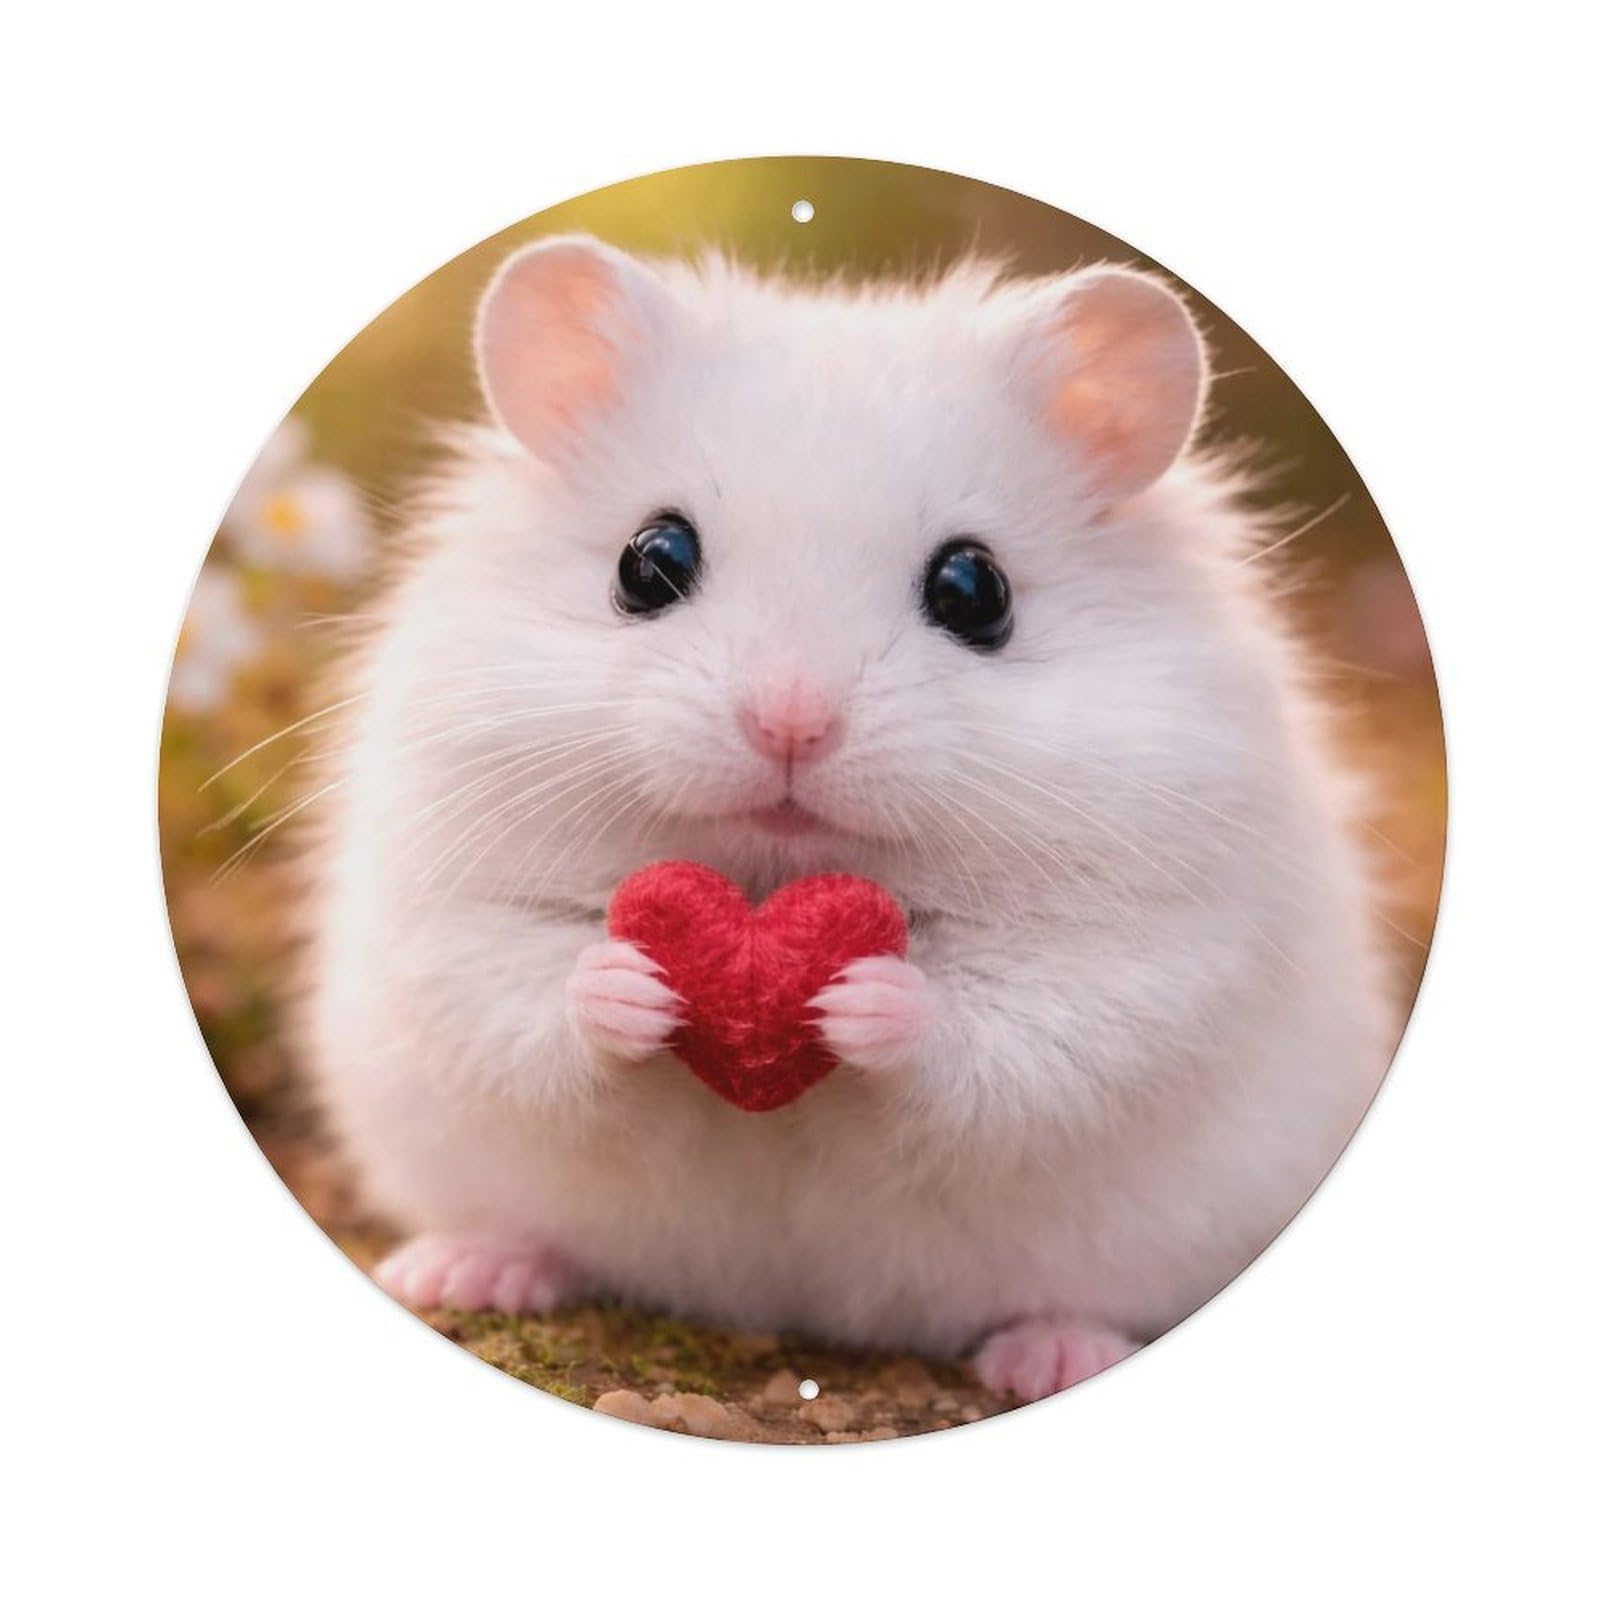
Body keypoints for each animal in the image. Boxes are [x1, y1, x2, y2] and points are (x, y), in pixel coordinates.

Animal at [307, 235, 1394, 1400]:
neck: (773, 870)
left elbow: (994, 1028)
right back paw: (457, 1271)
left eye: (975, 587)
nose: (790, 723)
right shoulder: (448, 900)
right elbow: (530, 986)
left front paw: (854, 997)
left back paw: (1052, 1354)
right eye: (650, 559)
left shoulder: (1144, 952)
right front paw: (640, 983)